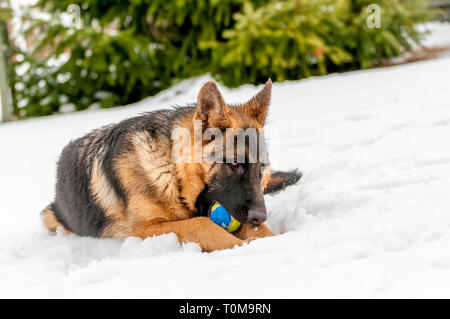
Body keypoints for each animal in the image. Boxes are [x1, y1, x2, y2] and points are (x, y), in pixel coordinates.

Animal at [42, 80, 300, 252]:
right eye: (235, 163)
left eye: (261, 168)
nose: (260, 216)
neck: (173, 174)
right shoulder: (142, 230)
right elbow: (201, 224)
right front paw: (245, 244)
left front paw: (269, 237)